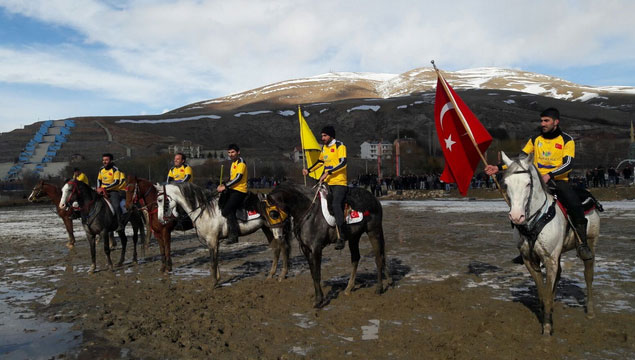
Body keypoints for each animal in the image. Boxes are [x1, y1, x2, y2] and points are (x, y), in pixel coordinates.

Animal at [157, 183, 290, 286]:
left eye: (160, 200)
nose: (160, 219)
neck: (204, 210)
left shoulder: (212, 240)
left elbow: (212, 261)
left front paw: (213, 283)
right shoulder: (214, 241)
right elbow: (215, 259)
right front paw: (218, 279)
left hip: (276, 229)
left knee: (283, 247)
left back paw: (282, 274)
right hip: (268, 229)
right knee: (276, 248)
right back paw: (271, 275)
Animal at [502, 152, 600, 334]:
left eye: (528, 183)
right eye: (506, 184)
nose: (516, 216)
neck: (534, 220)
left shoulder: (550, 259)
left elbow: (547, 292)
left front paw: (547, 326)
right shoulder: (530, 259)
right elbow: (542, 292)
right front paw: (546, 314)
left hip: (591, 242)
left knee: (588, 275)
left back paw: (590, 311)